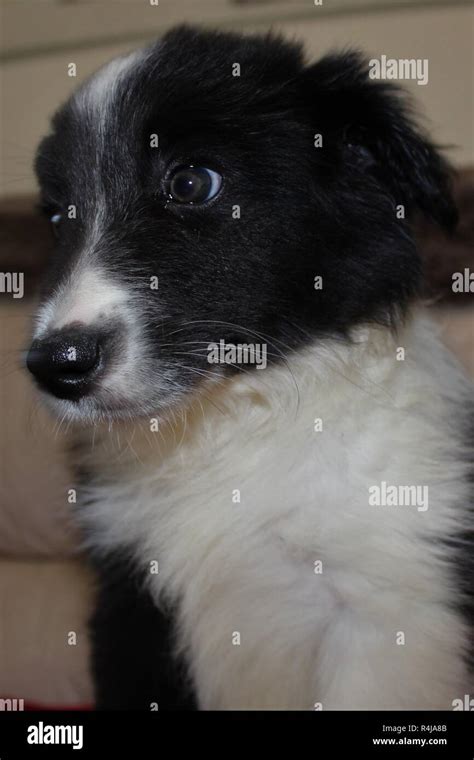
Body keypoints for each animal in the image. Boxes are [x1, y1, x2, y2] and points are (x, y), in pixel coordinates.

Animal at [27, 25, 472, 712]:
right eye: (56, 214)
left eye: (191, 183)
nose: (54, 365)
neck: (228, 423)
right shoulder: (132, 602)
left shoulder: (386, 609)